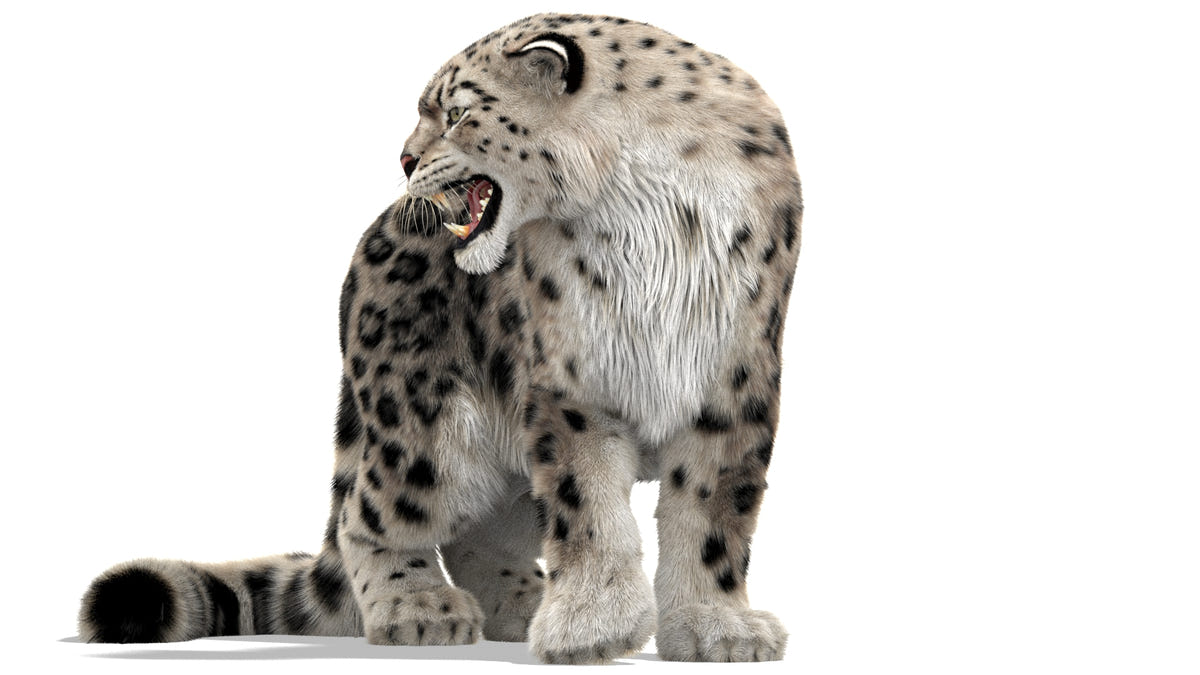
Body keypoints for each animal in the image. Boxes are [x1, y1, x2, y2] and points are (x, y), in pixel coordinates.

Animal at [79, 13, 801, 664]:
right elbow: (589, 509)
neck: (642, 219)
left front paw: (714, 628)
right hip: (430, 433)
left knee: (481, 531)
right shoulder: (570, 386)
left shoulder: (734, 385)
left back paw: (520, 603)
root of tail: (365, 255)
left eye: (456, 113)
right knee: (367, 516)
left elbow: (713, 516)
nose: (403, 160)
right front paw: (594, 627)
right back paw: (418, 607)